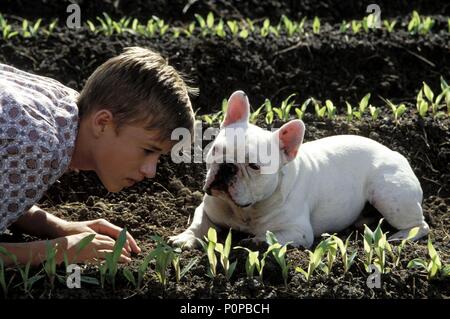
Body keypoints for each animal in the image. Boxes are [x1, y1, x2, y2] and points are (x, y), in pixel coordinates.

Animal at [171, 91, 430, 249]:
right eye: (215, 150)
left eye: (254, 166)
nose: (227, 167)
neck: (247, 210)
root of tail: (395, 153)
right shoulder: (206, 209)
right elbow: (198, 224)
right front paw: (184, 238)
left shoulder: (298, 232)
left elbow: (272, 236)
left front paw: (256, 241)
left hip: (388, 195)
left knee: (421, 225)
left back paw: (400, 237)